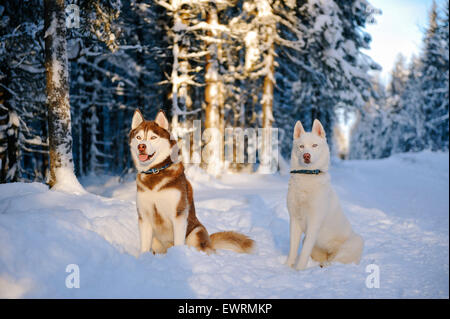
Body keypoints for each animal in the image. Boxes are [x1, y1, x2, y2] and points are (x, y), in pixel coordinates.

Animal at [128, 109, 253, 255]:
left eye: (153, 137)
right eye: (138, 137)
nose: (141, 146)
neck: (155, 172)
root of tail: (209, 242)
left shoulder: (179, 215)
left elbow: (178, 241)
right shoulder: (144, 217)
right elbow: (144, 247)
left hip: (195, 233)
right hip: (157, 241)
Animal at [286, 119, 364, 270]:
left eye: (314, 145)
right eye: (301, 146)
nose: (306, 155)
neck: (307, 176)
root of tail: (329, 253)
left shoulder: (314, 222)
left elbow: (304, 252)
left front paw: (298, 270)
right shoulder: (294, 219)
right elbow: (292, 249)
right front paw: (287, 267)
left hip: (356, 242)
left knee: (336, 261)